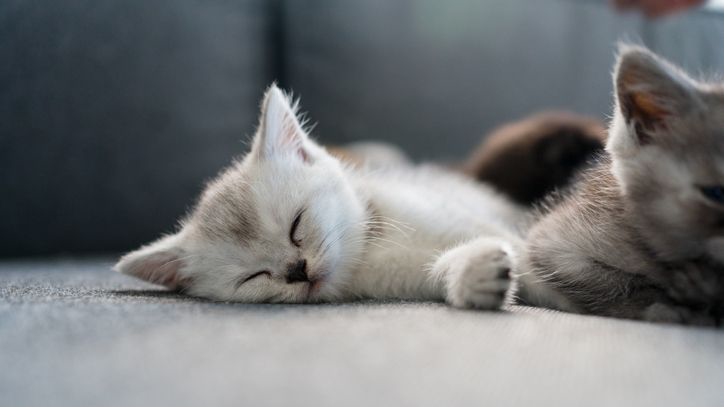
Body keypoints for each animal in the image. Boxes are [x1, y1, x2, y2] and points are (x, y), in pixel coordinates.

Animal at [113, 85, 524, 310]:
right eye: (255, 276)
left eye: (297, 225)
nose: (298, 270)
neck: (375, 247)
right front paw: (475, 274)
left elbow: (520, 249)